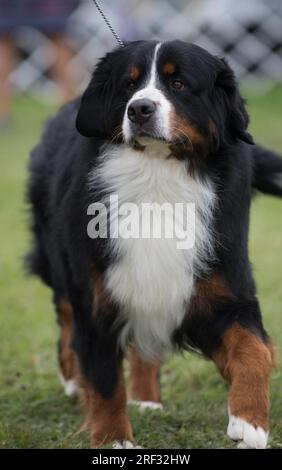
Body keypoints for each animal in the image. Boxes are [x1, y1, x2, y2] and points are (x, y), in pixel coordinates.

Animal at [26, 40, 282, 448]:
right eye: (129, 85)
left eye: (178, 84)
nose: (139, 109)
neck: (157, 180)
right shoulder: (98, 297)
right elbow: (104, 378)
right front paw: (113, 438)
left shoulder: (223, 291)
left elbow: (255, 349)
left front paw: (250, 422)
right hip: (60, 260)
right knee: (66, 319)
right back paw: (72, 379)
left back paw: (146, 398)